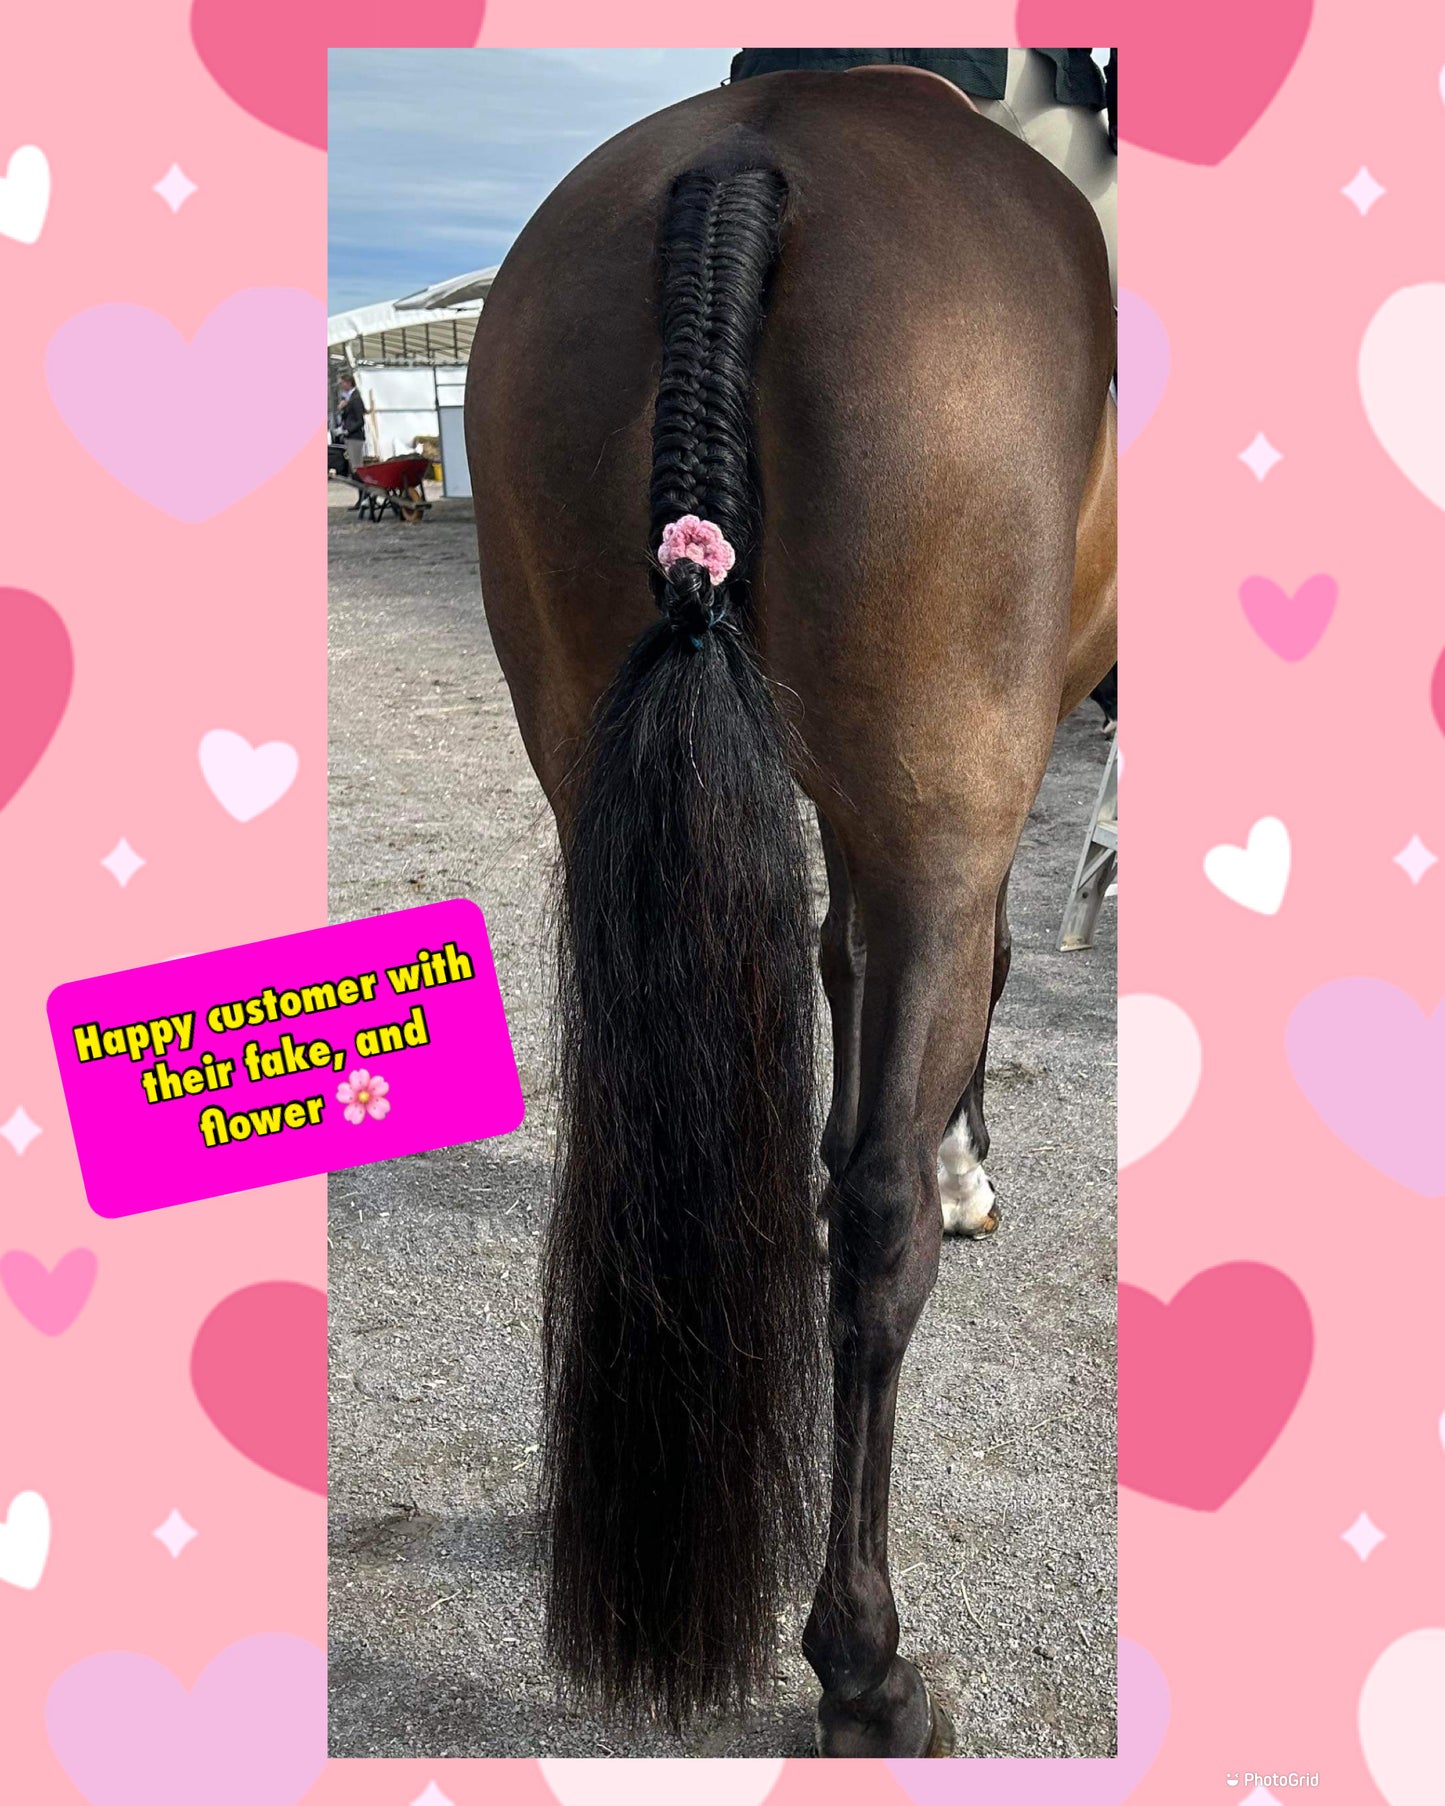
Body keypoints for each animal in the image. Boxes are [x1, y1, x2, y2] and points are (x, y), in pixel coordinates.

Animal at [464, 65, 1116, 1758]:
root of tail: (758, 145)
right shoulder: (974, 796)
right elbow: (974, 975)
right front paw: (964, 1163)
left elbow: (829, 960)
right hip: (949, 799)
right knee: (883, 1228)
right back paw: (864, 1665)